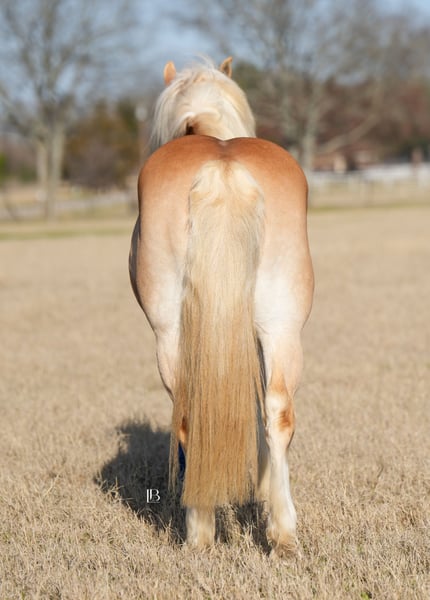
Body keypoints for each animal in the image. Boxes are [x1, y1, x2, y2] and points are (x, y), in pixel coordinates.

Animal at [129, 57, 314, 557]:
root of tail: (223, 169)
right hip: (283, 327)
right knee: (278, 412)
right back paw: (282, 534)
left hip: (171, 336)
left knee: (190, 416)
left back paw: (199, 533)